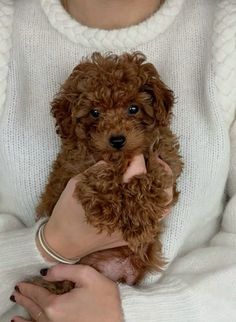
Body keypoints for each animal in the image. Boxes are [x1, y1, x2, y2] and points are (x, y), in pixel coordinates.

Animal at [35, 52, 183, 292]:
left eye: (133, 108)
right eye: (95, 113)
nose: (117, 140)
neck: (121, 156)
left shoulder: (167, 159)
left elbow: (152, 176)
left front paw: (138, 220)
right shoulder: (75, 165)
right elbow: (99, 176)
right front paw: (107, 208)